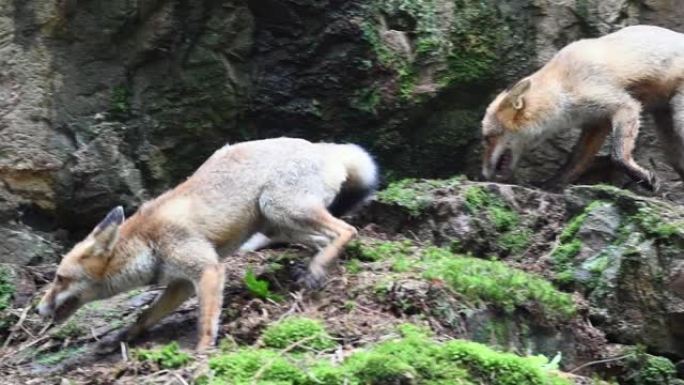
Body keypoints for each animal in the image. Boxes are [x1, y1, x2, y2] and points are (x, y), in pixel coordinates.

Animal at [36, 136, 380, 350]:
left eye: (60, 279)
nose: (39, 310)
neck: (148, 242)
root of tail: (324, 147)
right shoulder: (179, 283)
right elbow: (146, 315)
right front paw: (126, 335)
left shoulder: (207, 269)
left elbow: (205, 321)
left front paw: (202, 352)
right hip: (276, 222)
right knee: (324, 238)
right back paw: (311, 265)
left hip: (279, 207)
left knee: (346, 230)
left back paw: (318, 269)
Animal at [480, 25, 684, 190]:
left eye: (488, 138)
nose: (483, 174)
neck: (562, 87)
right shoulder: (597, 122)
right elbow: (574, 162)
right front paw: (552, 184)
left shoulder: (623, 105)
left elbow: (617, 155)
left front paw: (643, 178)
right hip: (667, 132)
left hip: (678, 117)